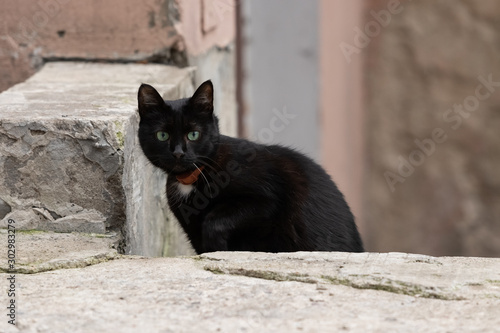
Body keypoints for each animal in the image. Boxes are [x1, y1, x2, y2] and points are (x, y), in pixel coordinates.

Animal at [137, 80, 364, 252]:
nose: (178, 153)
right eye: (162, 135)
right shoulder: (191, 226)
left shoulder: (266, 199)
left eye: (193, 134)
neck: (192, 179)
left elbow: (215, 219)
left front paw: (217, 246)